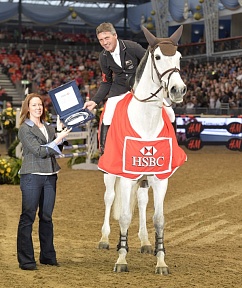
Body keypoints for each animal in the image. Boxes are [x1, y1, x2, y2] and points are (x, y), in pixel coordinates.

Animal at [97, 25, 186, 274]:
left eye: (179, 57)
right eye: (158, 57)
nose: (178, 90)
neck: (146, 120)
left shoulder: (160, 177)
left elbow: (159, 218)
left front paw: (161, 261)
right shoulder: (126, 175)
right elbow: (125, 215)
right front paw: (121, 259)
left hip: (144, 178)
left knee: (142, 200)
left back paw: (145, 242)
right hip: (110, 173)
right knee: (110, 198)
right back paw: (106, 239)